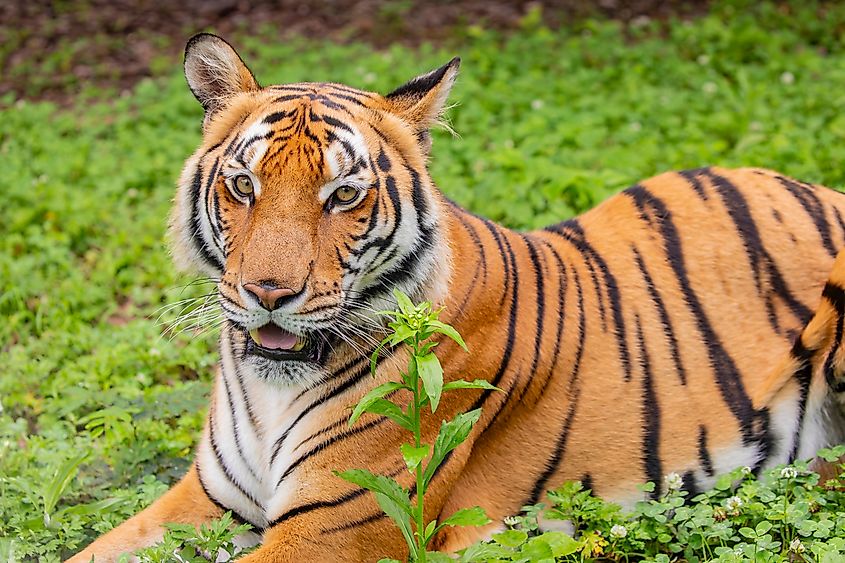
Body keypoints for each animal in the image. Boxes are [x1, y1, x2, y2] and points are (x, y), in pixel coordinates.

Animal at [70, 33, 845, 562]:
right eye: (243, 185)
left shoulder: (332, 525)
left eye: (343, 195)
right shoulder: (205, 500)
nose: (269, 294)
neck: (269, 390)